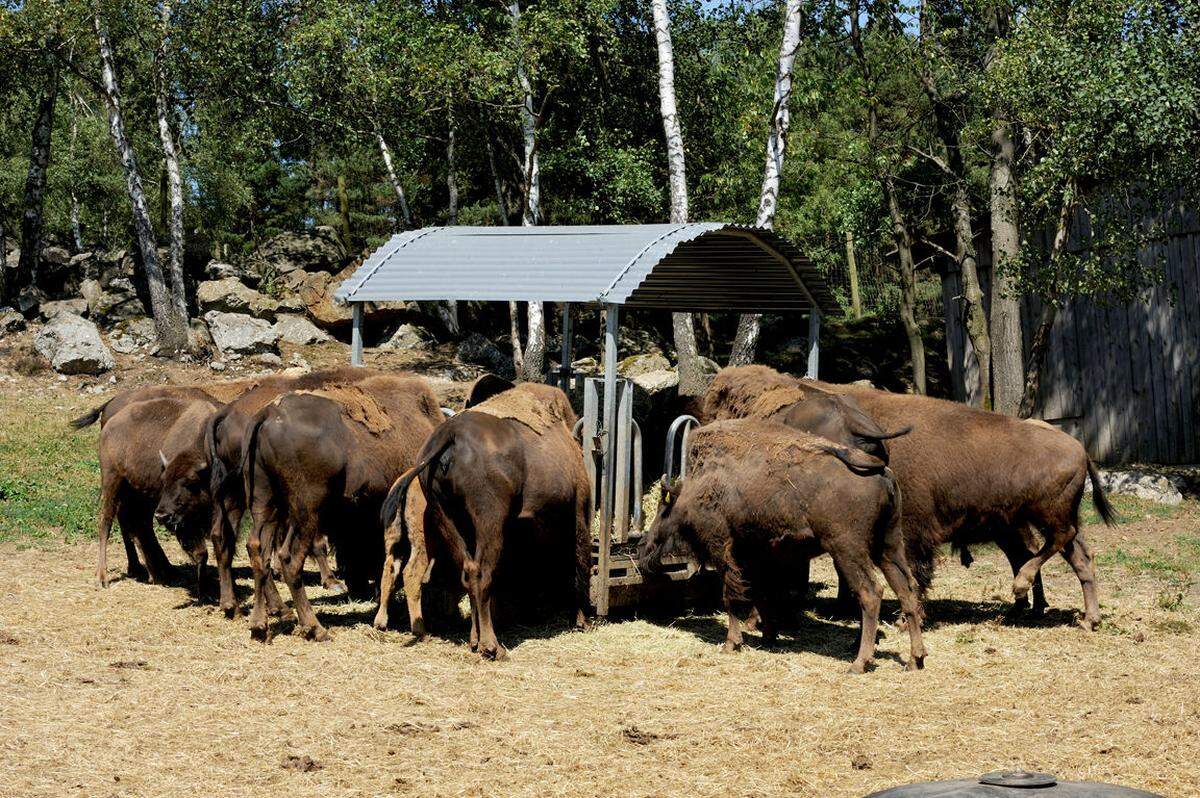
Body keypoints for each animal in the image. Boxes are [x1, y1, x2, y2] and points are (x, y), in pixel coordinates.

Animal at [243, 374, 446, 643]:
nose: (358, 585)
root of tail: (268, 414)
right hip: (306, 512)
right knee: (290, 559)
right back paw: (315, 628)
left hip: (265, 504)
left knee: (258, 550)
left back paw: (261, 624)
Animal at [384, 379, 590, 657]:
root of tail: (449, 434)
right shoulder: (579, 510)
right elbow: (579, 562)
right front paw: (583, 620)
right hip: (489, 522)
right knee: (482, 574)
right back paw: (492, 647)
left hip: (447, 519)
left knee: (468, 572)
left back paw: (474, 640)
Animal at [638, 417, 926, 672]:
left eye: (662, 511)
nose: (644, 547)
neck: (702, 485)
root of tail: (879, 470)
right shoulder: (755, 556)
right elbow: (760, 594)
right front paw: (768, 636)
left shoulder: (724, 550)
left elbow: (731, 596)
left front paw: (732, 643)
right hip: (889, 546)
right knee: (907, 590)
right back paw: (915, 659)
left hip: (847, 550)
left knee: (871, 593)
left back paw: (859, 663)